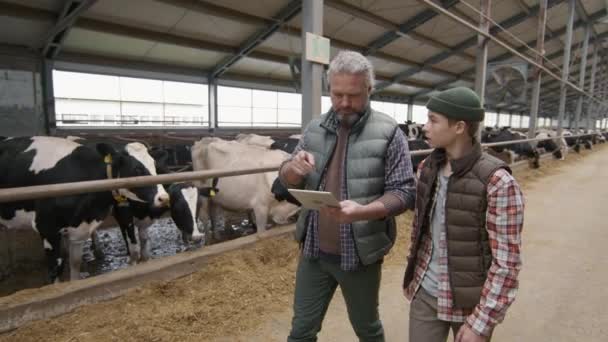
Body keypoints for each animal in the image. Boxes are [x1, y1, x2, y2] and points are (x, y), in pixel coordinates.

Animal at [0, 136, 170, 280]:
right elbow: (56, 269)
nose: (164, 198)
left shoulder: (80, 228)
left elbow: (75, 264)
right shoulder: (46, 227)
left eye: (155, 167)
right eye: (137, 169)